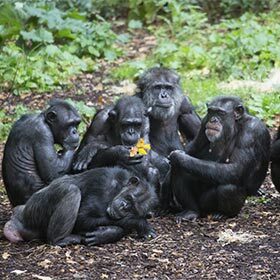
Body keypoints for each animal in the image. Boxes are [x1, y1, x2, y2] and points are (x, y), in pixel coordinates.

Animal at [3, 167, 158, 246]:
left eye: (133, 208)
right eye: (129, 198)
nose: (123, 206)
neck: (118, 187)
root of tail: (18, 219)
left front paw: (106, 234)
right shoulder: (103, 183)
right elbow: (82, 217)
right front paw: (140, 223)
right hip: (35, 209)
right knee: (72, 190)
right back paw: (60, 240)